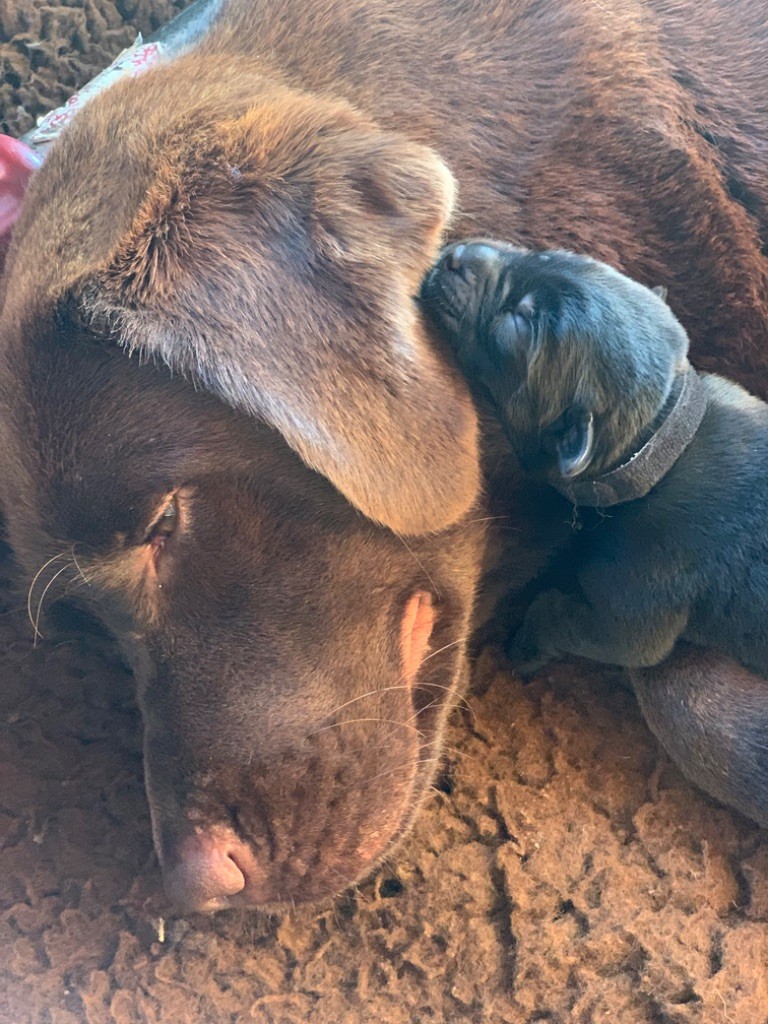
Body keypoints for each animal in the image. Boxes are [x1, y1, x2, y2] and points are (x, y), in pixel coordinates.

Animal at [421, 243, 768, 679]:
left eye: (520, 319)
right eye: (549, 255)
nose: (458, 254)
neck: (661, 440)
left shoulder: (634, 608)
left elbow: (576, 623)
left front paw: (525, 647)